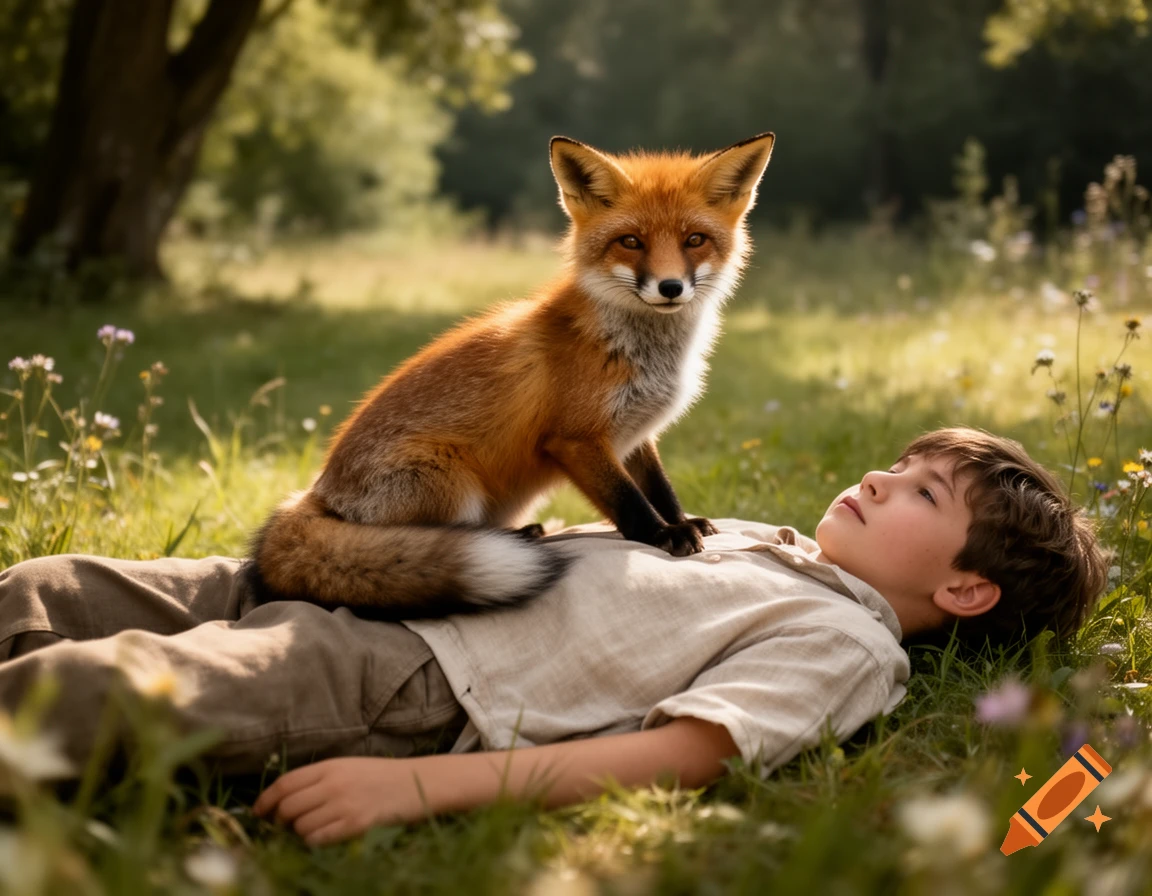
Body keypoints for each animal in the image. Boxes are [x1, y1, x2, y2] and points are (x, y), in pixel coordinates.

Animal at [245, 132, 776, 618]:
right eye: (630, 242)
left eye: (694, 240)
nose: (670, 287)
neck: (640, 351)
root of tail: (317, 494)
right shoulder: (576, 438)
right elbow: (627, 500)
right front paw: (664, 535)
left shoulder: (636, 432)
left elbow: (659, 487)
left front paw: (683, 520)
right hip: (450, 479)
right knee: (431, 540)